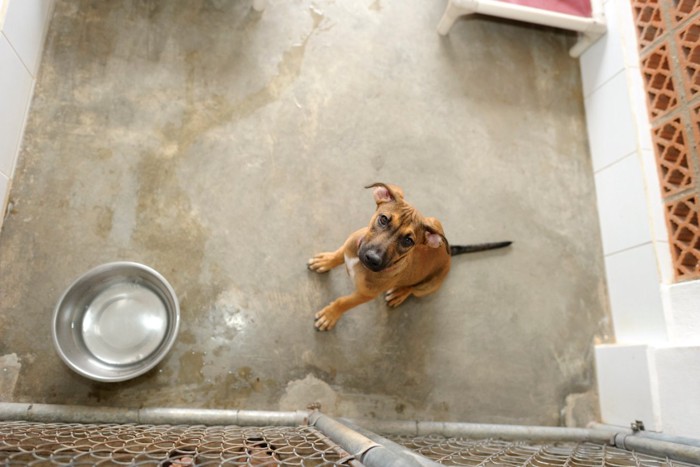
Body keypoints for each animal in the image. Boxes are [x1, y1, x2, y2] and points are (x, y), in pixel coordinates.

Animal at [308, 181, 512, 330]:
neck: (358, 263)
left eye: (408, 241)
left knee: (413, 289)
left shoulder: (365, 295)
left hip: (428, 286)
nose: (372, 259)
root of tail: (449, 253)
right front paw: (326, 261)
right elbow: (338, 254)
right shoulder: (351, 246)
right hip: (434, 221)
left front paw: (330, 315)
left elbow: (344, 302)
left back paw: (399, 293)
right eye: (383, 219)